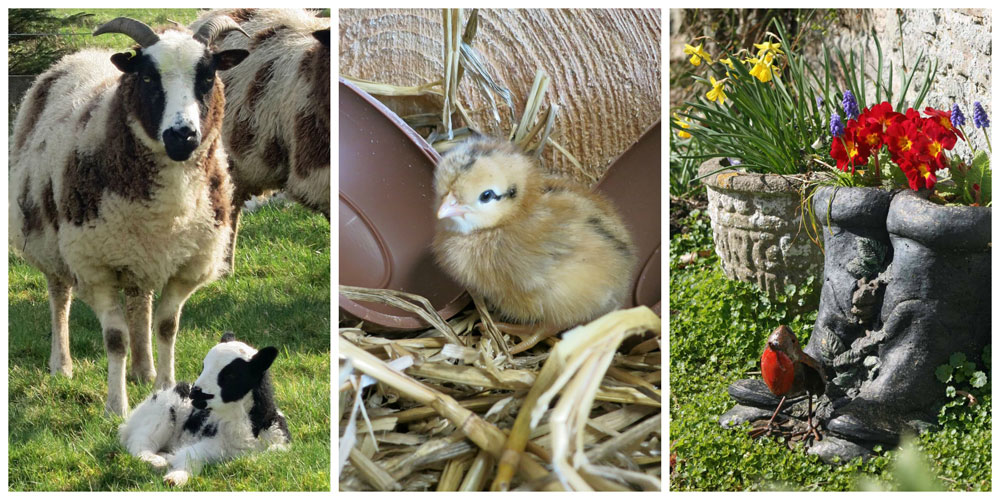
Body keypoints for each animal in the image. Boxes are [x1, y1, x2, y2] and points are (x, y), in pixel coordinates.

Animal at [8, 15, 250, 416]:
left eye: (207, 76)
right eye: (148, 77)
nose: (182, 136)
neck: (166, 212)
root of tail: (83, 53)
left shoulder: (186, 265)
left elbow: (166, 326)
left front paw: (166, 387)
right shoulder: (96, 267)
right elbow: (115, 338)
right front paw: (115, 407)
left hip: (137, 253)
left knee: (139, 302)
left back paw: (144, 369)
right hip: (50, 242)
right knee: (60, 297)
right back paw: (62, 365)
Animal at [118, 334, 290, 486]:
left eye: (231, 374)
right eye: (203, 367)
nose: (195, 392)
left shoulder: (280, 443)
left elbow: (271, 453)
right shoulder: (208, 442)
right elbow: (190, 456)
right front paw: (175, 478)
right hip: (160, 414)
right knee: (140, 442)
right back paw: (156, 460)